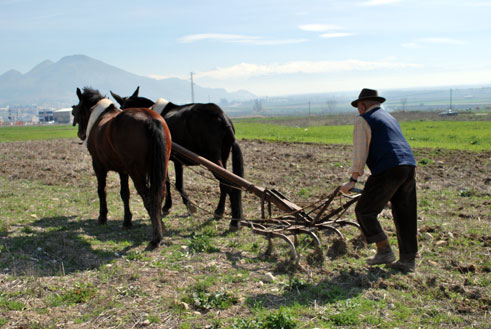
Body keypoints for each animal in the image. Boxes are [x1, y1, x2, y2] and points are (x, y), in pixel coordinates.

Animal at [72, 87, 172, 249]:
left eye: (78, 110)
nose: (80, 134)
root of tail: (149, 118)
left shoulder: (98, 165)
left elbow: (101, 190)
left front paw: (102, 216)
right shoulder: (123, 170)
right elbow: (125, 194)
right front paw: (127, 220)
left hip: (137, 172)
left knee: (148, 196)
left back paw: (156, 236)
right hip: (160, 169)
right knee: (159, 193)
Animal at [110, 86, 243, 227]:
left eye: (121, 107)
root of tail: (223, 119)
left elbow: (168, 182)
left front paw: (169, 206)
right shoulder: (177, 160)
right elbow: (177, 183)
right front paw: (180, 205)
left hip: (213, 159)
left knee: (228, 184)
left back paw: (234, 220)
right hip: (223, 157)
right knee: (227, 183)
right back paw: (221, 211)